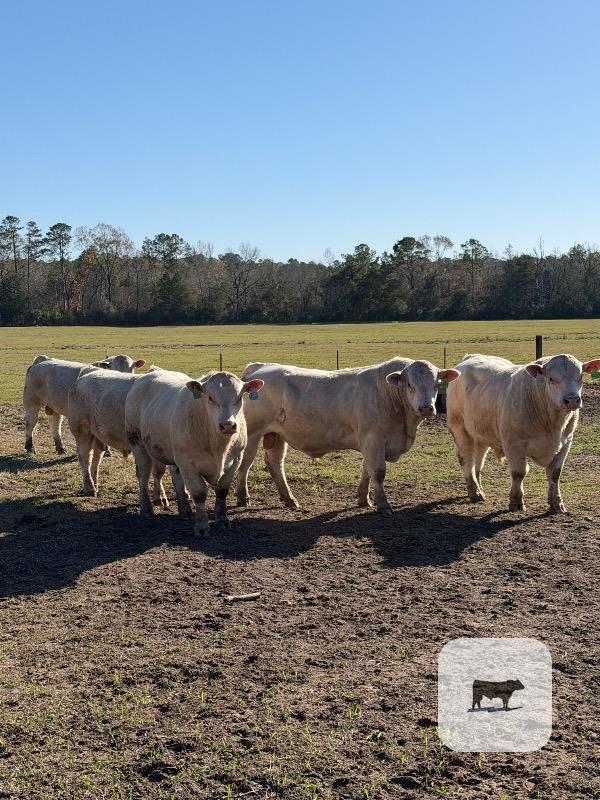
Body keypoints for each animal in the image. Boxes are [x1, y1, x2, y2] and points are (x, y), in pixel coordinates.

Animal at [68, 368, 167, 504]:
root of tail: (83, 378)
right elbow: (157, 471)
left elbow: (158, 471)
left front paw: (161, 497)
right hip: (81, 430)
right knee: (85, 458)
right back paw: (90, 488)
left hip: (97, 435)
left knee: (96, 458)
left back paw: (96, 486)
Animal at [124, 368, 264, 536]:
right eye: (210, 397)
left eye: (240, 397)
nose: (228, 425)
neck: (218, 447)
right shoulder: (188, 463)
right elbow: (199, 493)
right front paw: (202, 526)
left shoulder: (235, 460)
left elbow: (222, 491)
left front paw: (222, 520)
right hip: (138, 444)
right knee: (143, 476)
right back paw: (146, 508)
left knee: (176, 478)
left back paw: (184, 509)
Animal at [235, 359, 460, 514]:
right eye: (410, 385)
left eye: (436, 385)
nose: (426, 408)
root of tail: (260, 367)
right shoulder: (374, 439)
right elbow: (378, 472)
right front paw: (383, 505)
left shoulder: (371, 442)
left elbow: (367, 471)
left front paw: (363, 499)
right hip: (253, 434)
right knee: (245, 464)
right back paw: (243, 497)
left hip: (276, 435)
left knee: (275, 464)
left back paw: (289, 499)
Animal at [447, 353, 600, 513]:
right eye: (551, 378)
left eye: (581, 376)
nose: (572, 400)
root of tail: (471, 356)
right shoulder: (513, 444)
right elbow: (519, 473)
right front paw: (516, 501)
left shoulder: (565, 442)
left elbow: (555, 473)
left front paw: (557, 503)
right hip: (460, 428)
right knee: (467, 459)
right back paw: (475, 491)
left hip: (481, 432)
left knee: (478, 460)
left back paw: (479, 488)